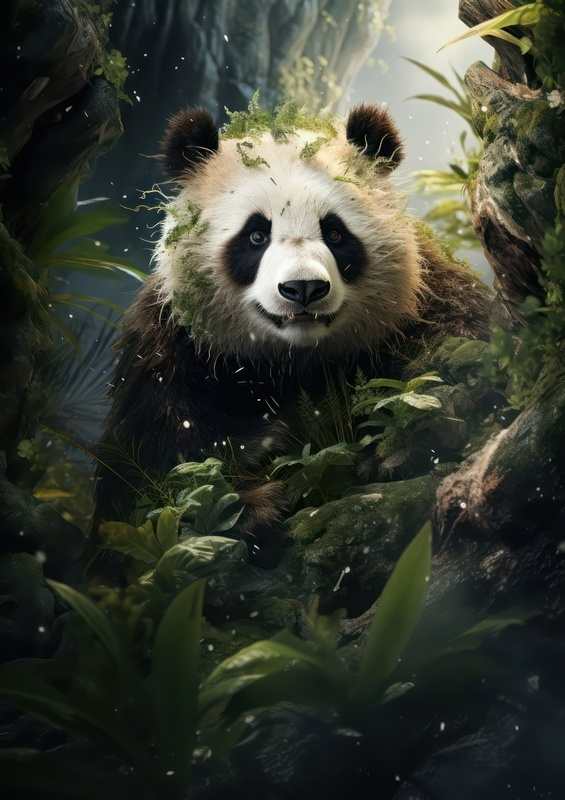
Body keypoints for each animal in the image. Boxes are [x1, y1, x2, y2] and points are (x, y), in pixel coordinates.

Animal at [94, 102, 489, 537]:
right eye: (256, 235)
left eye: (335, 233)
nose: (303, 288)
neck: (293, 360)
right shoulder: (171, 343)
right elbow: (147, 462)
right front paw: (254, 500)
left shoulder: (423, 296)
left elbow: (459, 346)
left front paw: (400, 444)